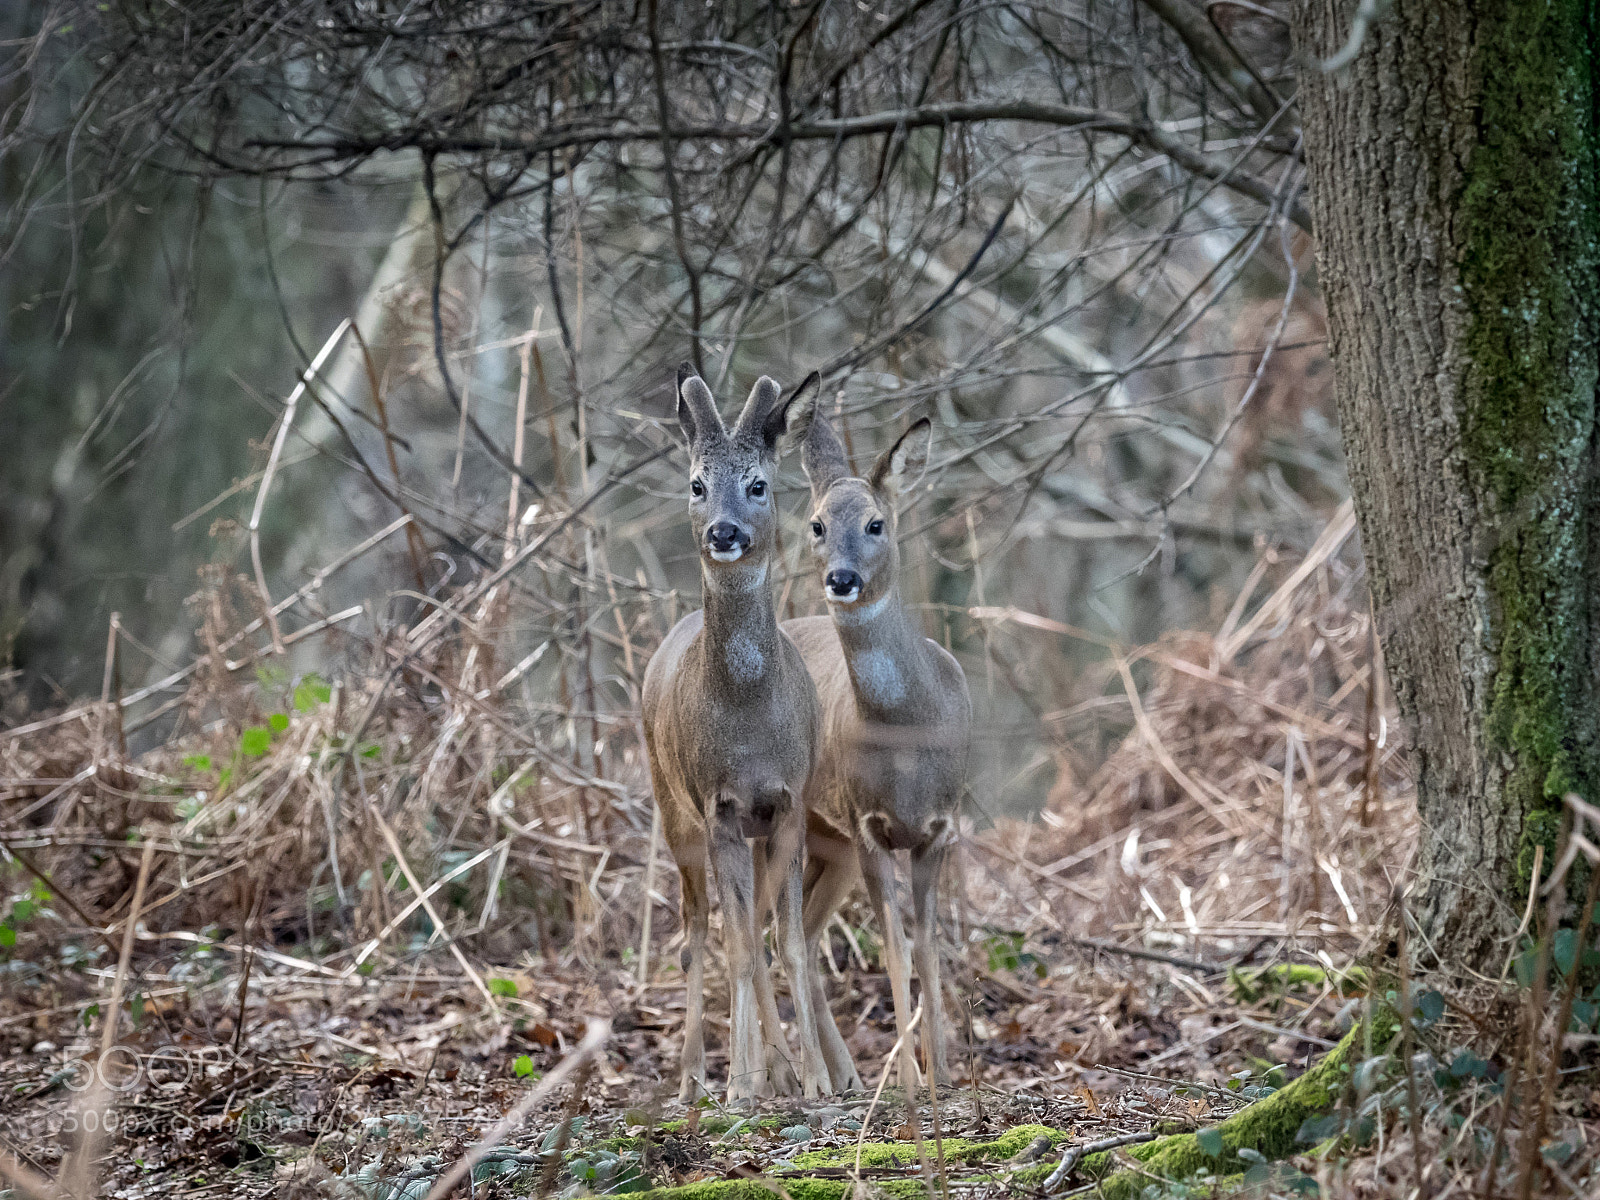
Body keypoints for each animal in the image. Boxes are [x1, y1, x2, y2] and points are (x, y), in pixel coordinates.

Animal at [640, 363, 835, 1103]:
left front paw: (812, 1079)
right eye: (697, 483)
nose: (724, 532)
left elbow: (787, 942)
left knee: (745, 926)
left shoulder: (789, 803)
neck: (750, 724)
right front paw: (752, 1080)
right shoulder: (718, 805)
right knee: (698, 932)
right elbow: (742, 946)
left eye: (758, 484)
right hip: (674, 810)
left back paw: (762, 1073)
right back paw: (699, 1076)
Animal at [780, 404, 971, 1096]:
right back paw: (804, 1080)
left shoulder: (940, 827)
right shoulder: (869, 826)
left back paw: (843, 1079)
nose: (842, 578)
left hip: (828, 845)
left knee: (803, 936)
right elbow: (894, 949)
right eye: (816, 524)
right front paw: (914, 1083)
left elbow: (930, 947)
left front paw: (945, 1075)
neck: (908, 733)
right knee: (768, 932)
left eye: (875, 523)